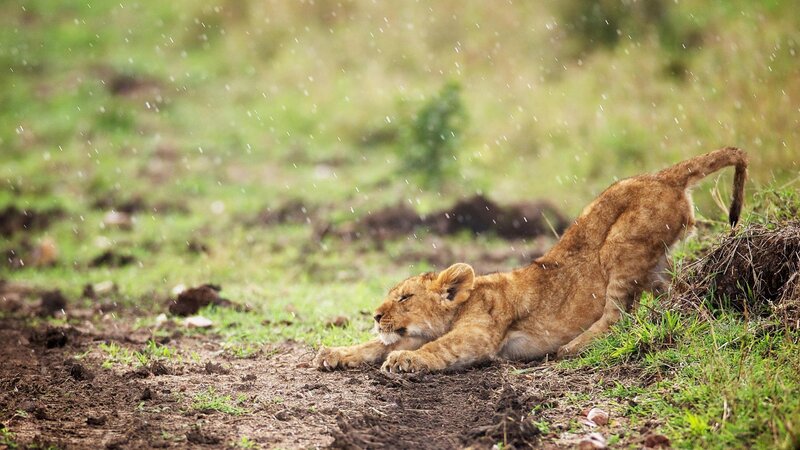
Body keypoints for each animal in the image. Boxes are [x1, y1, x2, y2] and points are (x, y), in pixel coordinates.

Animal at [314, 147, 748, 373]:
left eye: (404, 298)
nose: (375, 315)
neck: (463, 304)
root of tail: (664, 176)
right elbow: (373, 346)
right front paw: (335, 353)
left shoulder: (480, 335)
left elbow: (437, 349)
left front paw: (404, 360)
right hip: (656, 261)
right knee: (668, 295)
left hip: (621, 244)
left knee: (617, 313)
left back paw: (571, 348)